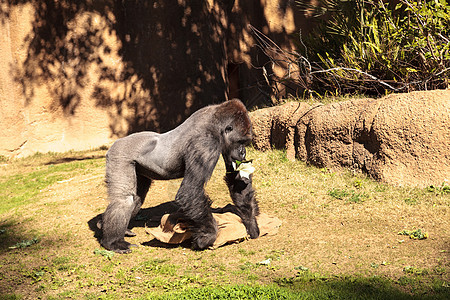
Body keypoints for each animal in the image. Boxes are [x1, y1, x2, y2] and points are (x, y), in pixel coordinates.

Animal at [100, 99, 258, 253]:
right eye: (240, 142)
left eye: (245, 143)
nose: (243, 152)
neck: (216, 124)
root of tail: (115, 143)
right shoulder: (205, 144)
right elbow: (190, 191)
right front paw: (208, 235)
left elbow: (237, 180)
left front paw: (251, 224)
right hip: (119, 154)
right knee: (124, 200)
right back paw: (113, 242)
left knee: (137, 198)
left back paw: (105, 225)